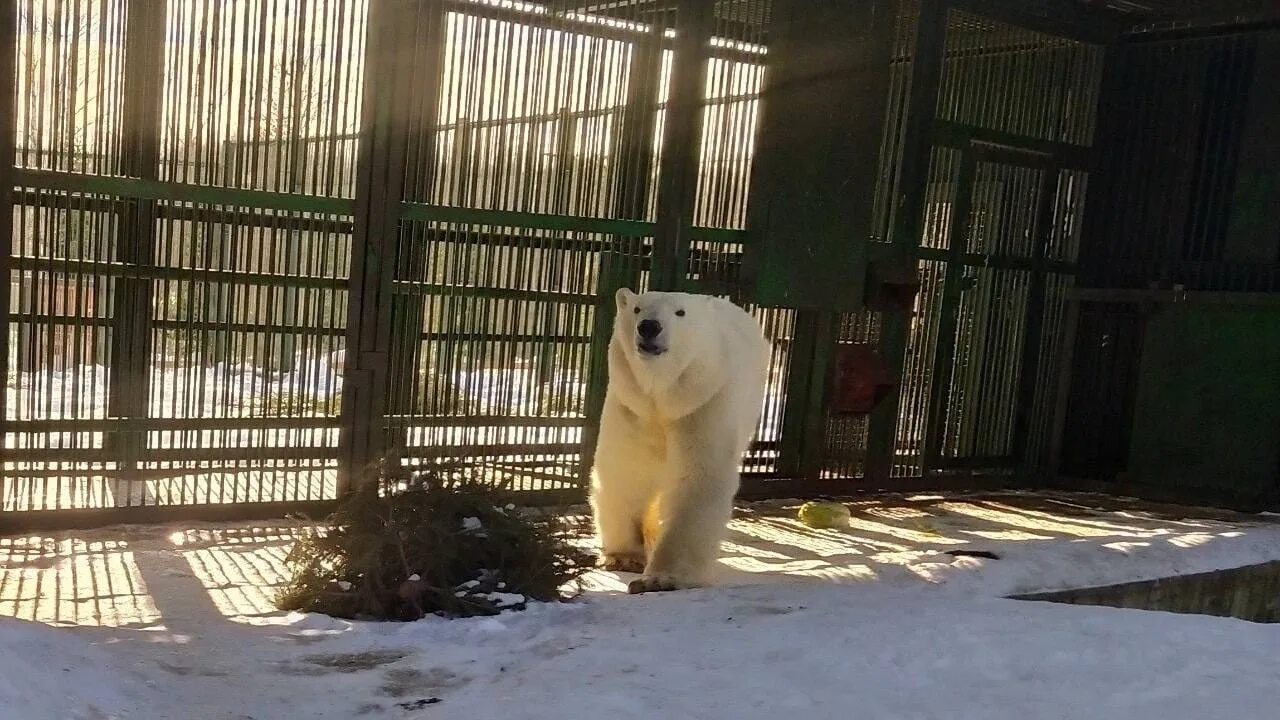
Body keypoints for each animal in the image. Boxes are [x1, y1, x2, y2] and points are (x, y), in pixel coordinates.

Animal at [591, 285, 768, 594]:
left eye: (680, 312)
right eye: (637, 308)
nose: (649, 327)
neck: (664, 396)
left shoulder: (704, 403)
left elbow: (697, 478)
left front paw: (662, 578)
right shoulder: (632, 406)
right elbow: (627, 471)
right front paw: (624, 556)